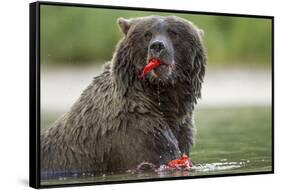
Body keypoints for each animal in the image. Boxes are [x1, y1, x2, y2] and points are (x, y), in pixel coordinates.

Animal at [40, 15, 206, 177]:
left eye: (173, 33)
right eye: (147, 34)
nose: (157, 46)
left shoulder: (182, 129)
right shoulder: (136, 128)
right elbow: (158, 155)